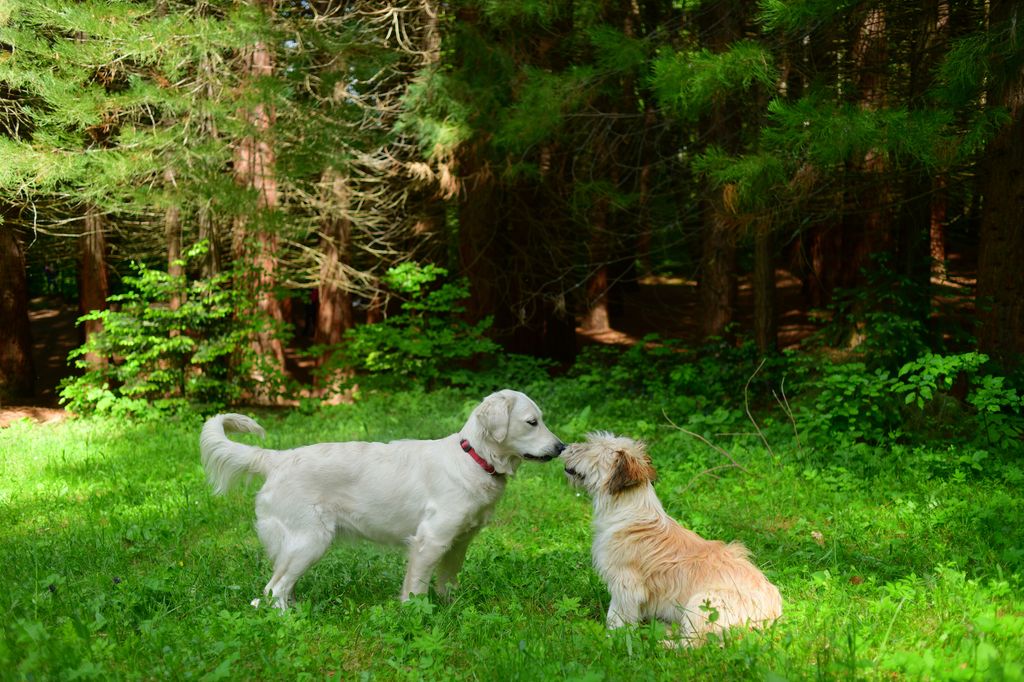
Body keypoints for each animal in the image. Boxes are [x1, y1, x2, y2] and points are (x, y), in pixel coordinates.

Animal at [199, 387, 569, 606]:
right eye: (531, 422)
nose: (561, 448)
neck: (473, 458)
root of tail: (277, 458)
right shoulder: (430, 540)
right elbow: (416, 588)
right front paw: (417, 615)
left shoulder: (458, 542)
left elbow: (447, 582)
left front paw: (451, 607)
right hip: (309, 541)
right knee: (272, 590)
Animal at [565, 430, 778, 643]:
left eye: (590, 448)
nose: (565, 447)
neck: (629, 511)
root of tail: (772, 613)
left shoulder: (626, 585)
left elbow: (617, 617)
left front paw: (611, 638)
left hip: (701, 604)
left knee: (691, 644)